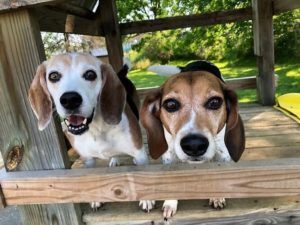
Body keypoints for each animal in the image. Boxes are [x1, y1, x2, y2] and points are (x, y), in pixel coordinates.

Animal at [28, 53, 155, 212]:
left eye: (90, 75)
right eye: (54, 76)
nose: (70, 99)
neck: (96, 128)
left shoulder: (139, 153)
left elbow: (143, 177)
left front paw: (147, 199)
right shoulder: (87, 160)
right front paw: (95, 199)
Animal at [142, 60, 245, 219]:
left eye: (215, 102)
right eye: (171, 104)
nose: (194, 145)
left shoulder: (223, 154)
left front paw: (217, 195)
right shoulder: (169, 155)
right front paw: (171, 202)